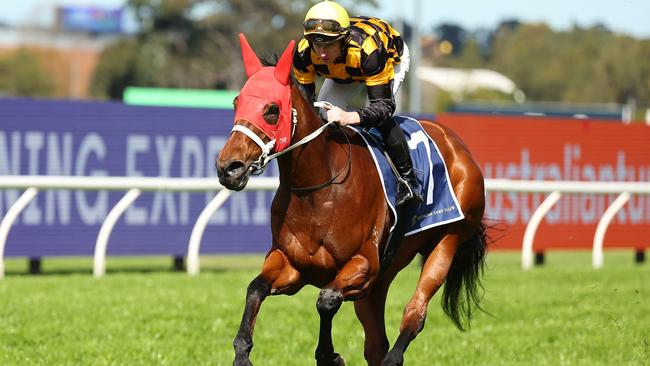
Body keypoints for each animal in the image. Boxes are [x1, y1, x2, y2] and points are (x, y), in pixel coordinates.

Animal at [218, 33, 486, 364]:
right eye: (237, 102)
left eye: (272, 109)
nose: (228, 168)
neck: (317, 190)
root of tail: (459, 146)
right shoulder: (292, 266)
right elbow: (255, 288)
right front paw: (242, 352)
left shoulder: (364, 265)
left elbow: (326, 299)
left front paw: (329, 354)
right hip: (383, 277)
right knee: (375, 342)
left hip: (448, 241)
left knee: (413, 316)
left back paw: (395, 352)